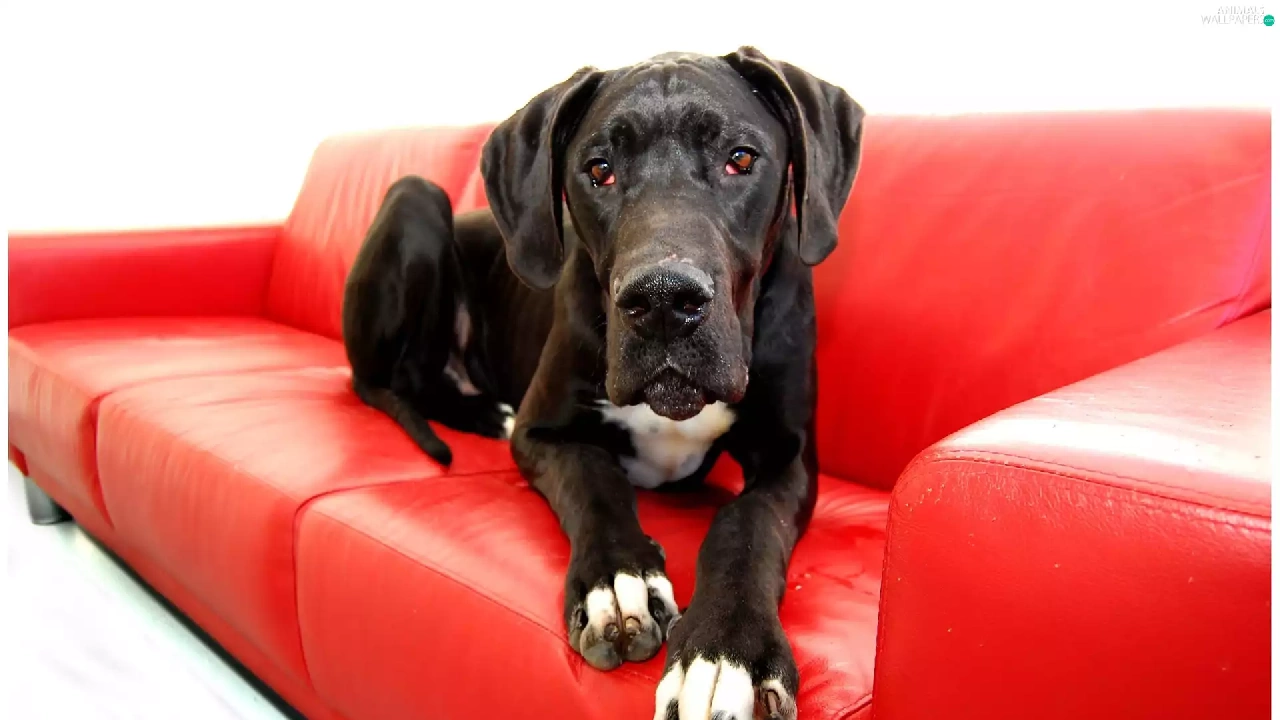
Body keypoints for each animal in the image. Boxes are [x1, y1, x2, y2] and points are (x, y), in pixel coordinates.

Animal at [342, 46, 864, 720]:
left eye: (741, 158)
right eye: (599, 170)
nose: (663, 302)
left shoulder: (790, 459)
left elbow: (746, 525)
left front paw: (726, 649)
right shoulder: (545, 434)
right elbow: (595, 479)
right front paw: (619, 584)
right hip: (416, 196)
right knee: (400, 379)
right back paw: (486, 414)